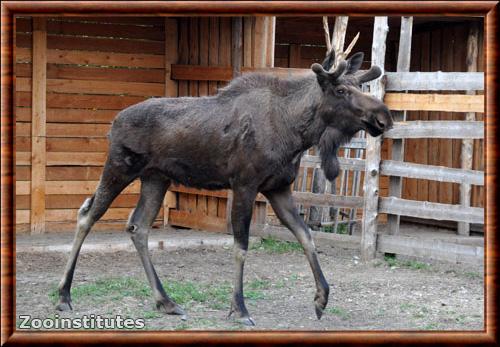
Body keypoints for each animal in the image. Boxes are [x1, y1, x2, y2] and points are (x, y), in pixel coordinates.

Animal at [54, 50, 390, 328]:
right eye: (341, 90)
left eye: (360, 86)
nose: (384, 116)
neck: (296, 133)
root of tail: (112, 123)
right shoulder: (244, 184)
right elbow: (241, 246)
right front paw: (239, 308)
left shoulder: (279, 188)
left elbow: (306, 235)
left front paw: (321, 298)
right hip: (119, 166)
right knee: (87, 215)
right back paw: (64, 295)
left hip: (156, 178)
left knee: (138, 226)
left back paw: (165, 301)